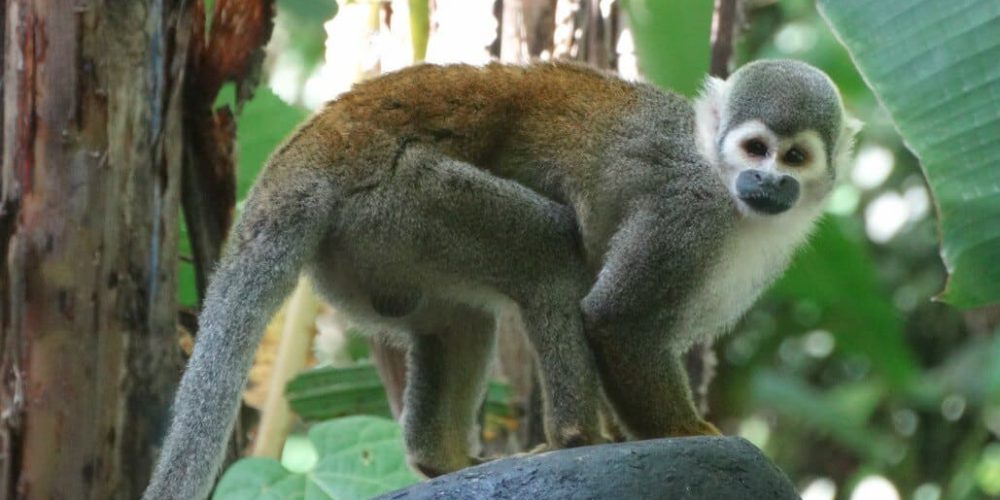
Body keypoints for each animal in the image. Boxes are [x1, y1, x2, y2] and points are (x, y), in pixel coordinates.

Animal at [141, 56, 860, 498]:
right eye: (755, 149)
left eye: (795, 158)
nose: (767, 181)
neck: (727, 192)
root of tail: (320, 139)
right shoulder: (687, 214)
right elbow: (618, 320)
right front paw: (690, 435)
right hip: (401, 194)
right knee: (549, 252)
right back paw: (574, 439)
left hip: (367, 246)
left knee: (458, 319)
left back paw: (445, 460)